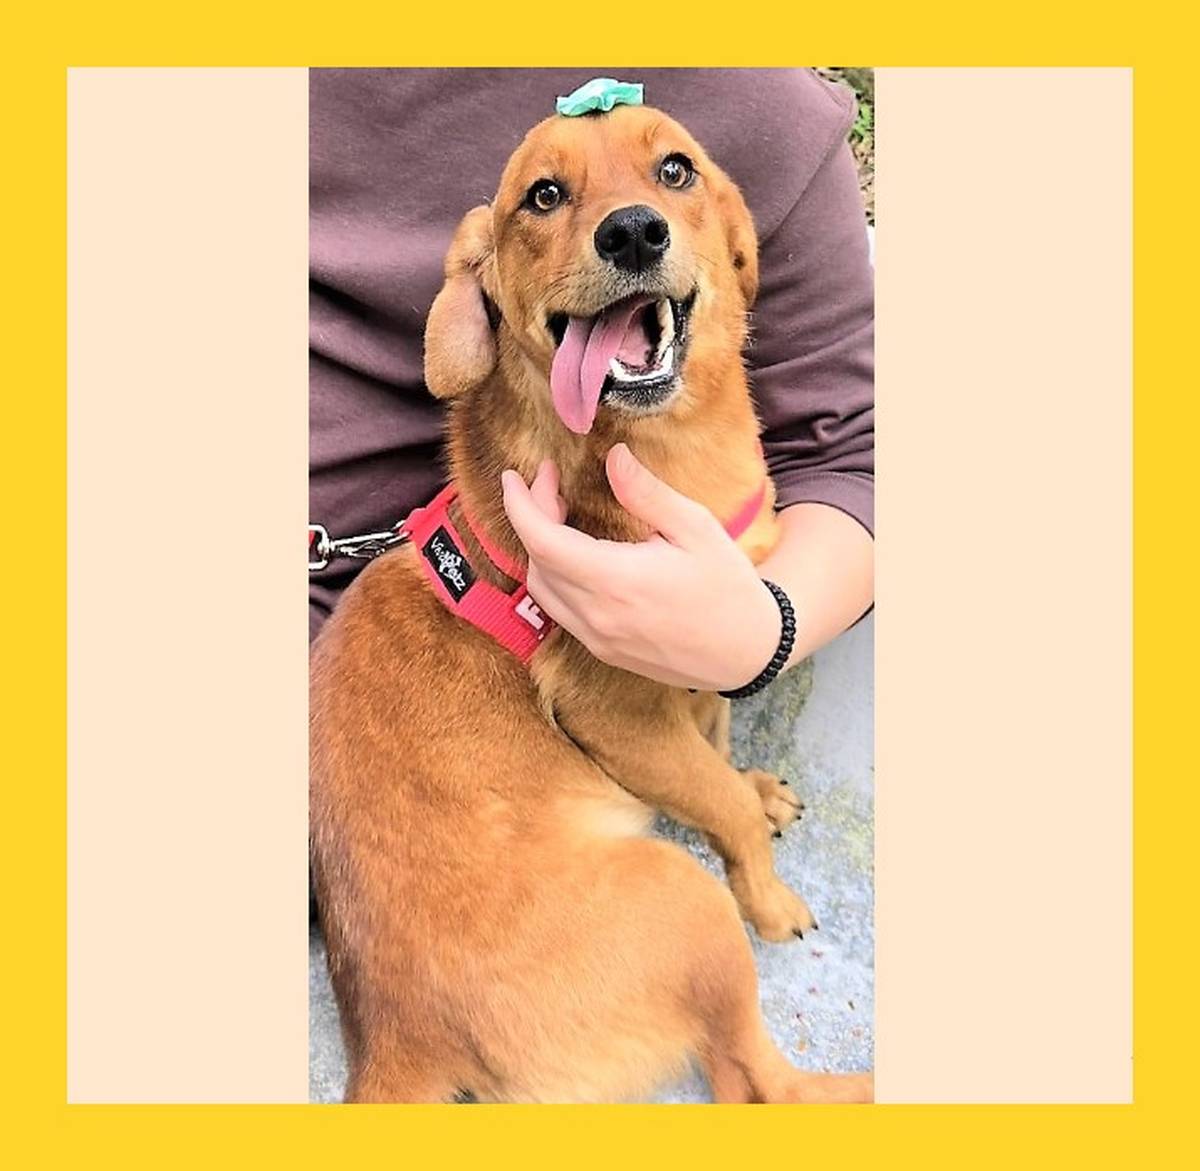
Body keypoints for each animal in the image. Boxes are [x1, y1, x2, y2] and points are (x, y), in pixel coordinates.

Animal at [310, 101, 874, 1104]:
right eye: (543, 195)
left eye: (676, 172)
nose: (634, 231)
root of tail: (394, 1041)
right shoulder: (615, 715)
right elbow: (718, 804)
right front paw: (766, 887)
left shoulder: (707, 658)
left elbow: (715, 749)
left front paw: (752, 786)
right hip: (682, 904)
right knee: (759, 1079)